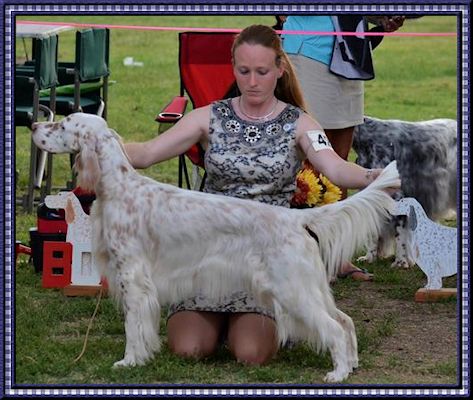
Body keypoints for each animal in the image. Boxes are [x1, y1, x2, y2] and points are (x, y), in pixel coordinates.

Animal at [32, 111, 398, 382]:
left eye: (63, 124)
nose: (34, 126)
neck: (119, 186)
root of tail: (294, 218)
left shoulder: (134, 278)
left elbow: (134, 326)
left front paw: (130, 361)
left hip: (293, 290)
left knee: (333, 328)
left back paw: (337, 373)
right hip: (310, 287)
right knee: (345, 321)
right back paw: (351, 364)